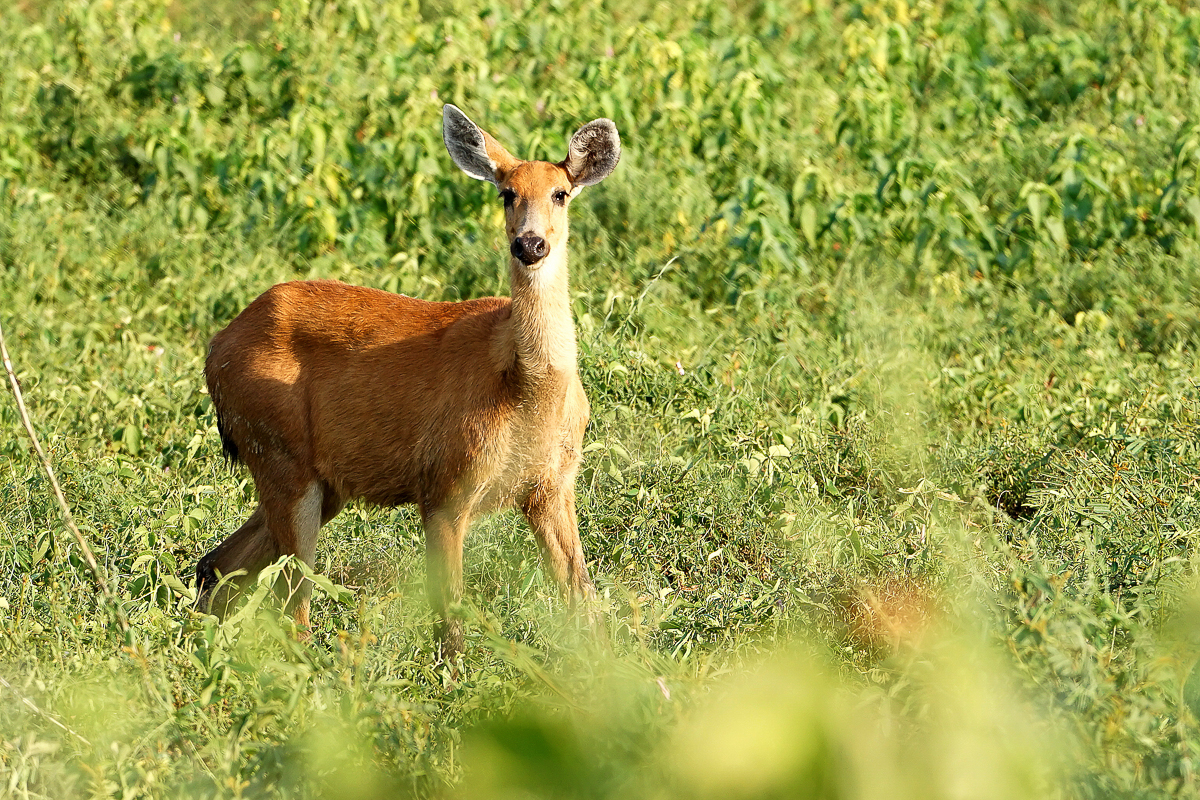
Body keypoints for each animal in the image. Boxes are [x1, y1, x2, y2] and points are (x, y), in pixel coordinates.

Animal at [195, 104, 620, 659]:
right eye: (506, 192)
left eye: (561, 193)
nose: (530, 244)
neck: (527, 390)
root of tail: (216, 349)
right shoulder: (444, 483)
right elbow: (450, 617)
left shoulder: (552, 486)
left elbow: (583, 597)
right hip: (281, 455)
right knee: (293, 601)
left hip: (321, 480)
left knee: (218, 563)